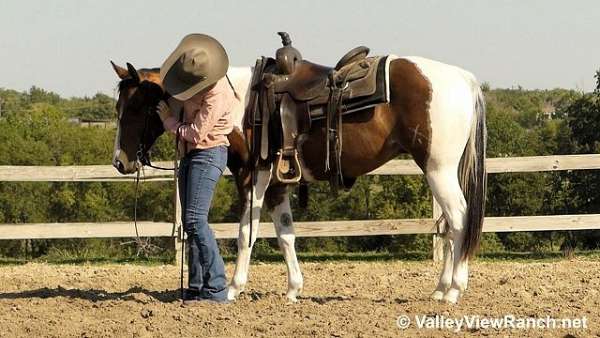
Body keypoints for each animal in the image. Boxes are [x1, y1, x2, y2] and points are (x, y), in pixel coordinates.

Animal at [110, 45, 488, 304]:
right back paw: (441, 288)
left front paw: (233, 288)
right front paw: (293, 289)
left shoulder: (253, 176)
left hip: (438, 169)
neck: (240, 104)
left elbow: (246, 233)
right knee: (451, 225)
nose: (119, 161)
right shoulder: (278, 185)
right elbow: (285, 234)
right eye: (118, 107)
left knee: (458, 220)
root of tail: (465, 80)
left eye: (137, 107)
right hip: (442, 171)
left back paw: (453, 291)